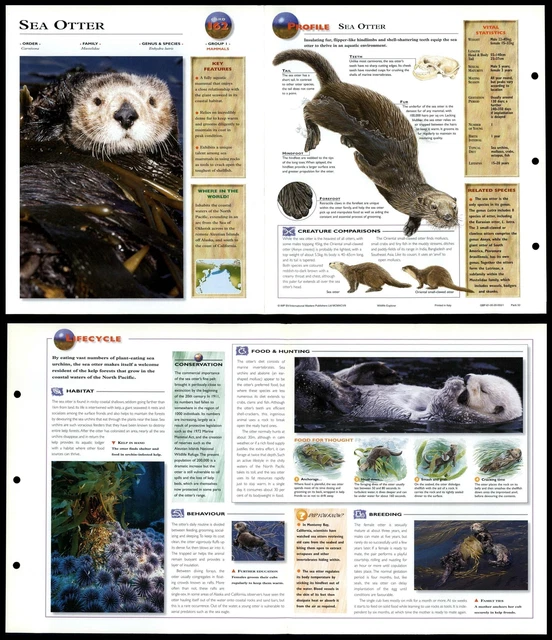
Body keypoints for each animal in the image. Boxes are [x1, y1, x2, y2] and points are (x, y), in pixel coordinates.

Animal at [273, 50, 458, 236]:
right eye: (434, 207)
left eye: (455, 207)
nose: (448, 217)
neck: (406, 182)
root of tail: (335, 85)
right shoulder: (389, 172)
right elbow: (371, 170)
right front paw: (358, 157)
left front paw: (411, 226)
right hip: (330, 114)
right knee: (307, 108)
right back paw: (314, 137)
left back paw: (344, 140)